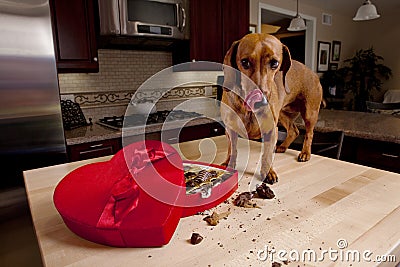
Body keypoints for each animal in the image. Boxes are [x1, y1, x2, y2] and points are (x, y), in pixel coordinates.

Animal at [220, 33, 324, 184]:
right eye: (245, 62)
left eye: (274, 63)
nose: (260, 102)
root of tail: (313, 73)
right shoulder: (230, 129)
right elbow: (232, 150)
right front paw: (228, 164)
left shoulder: (271, 131)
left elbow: (267, 154)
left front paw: (268, 172)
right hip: (282, 114)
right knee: (294, 130)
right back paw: (283, 146)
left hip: (310, 114)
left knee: (309, 134)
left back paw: (305, 153)